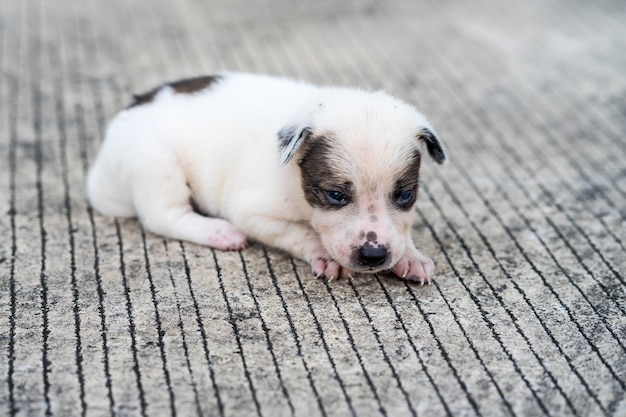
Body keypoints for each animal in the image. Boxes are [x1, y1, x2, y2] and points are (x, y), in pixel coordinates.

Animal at [85, 73, 446, 282]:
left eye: (405, 195)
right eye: (335, 195)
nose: (374, 256)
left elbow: (401, 231)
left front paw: (410, 256)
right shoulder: (254, 214)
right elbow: (302, 233)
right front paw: (323, 255)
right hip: (155, 161)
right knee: (165, 216)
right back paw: (218, 232)